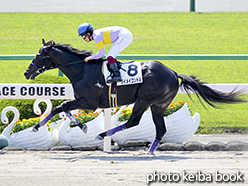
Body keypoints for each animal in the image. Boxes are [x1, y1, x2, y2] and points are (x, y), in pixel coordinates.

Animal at [24, 38, 245, 153]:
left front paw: (36, 126)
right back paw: (150, 151)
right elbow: (63, 107)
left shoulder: (90, 101)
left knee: (134, 121)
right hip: (158, 105)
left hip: (144, 99)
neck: (82, 70)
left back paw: (103, 134)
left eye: (39, 55)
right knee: (160, 128)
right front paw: (80, 125)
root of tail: (173, 73)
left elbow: (61, 106)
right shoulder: (84, 101)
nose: (27, 73)